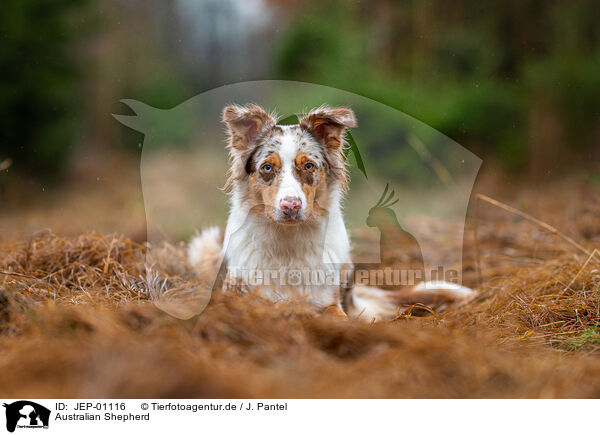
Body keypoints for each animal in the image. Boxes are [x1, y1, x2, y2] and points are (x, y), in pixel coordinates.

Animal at [188, 104, 474, 322]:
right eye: (267, 167)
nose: (290, 206)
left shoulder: (329, 303)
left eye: (309, 166)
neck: (288, 245)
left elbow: (340, 318)